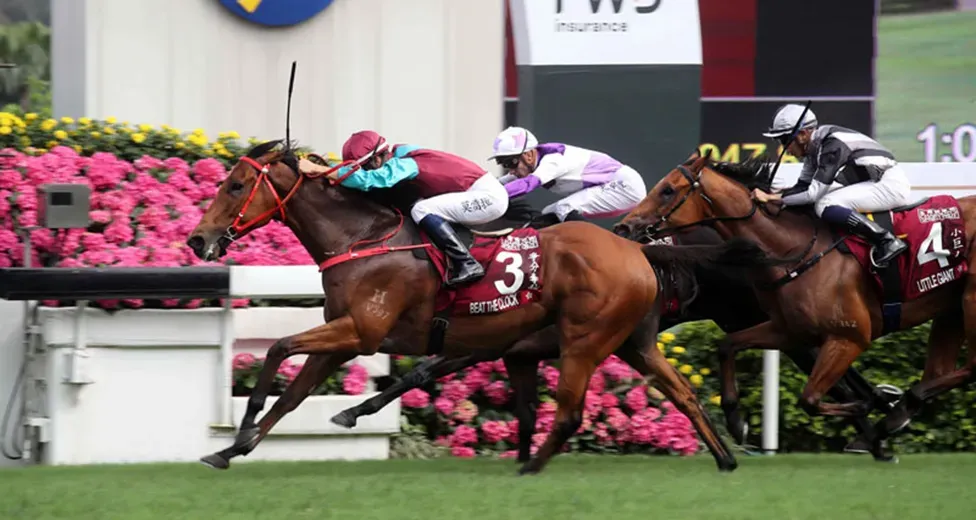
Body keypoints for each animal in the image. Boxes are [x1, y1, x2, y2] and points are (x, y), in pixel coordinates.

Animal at [185, 140, 780, 474]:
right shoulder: (346, 336)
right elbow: (293, 395)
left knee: (577, 407)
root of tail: (636, 247)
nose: (197, 239)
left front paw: (242, 426)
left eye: (236, 184)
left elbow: (277, 350)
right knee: (683, 393)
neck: (363, 238)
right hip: (631, 342)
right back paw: (726, 455)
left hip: (587, 339)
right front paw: (231, 450)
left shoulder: (362, 332)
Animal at [334, 223, 902, 461]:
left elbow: (419, 371)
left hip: (778, 323)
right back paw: (879, 423)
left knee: (838, 371)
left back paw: (879, 428)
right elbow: (519, 409)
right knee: (841, 373)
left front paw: (353, 411)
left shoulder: (484, 344)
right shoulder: (514, 352)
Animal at [612, 151, 976, 454]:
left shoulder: (848, 338)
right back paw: (894, 416)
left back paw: (890, 416)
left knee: (966, 368)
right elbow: (727, 346)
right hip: (951, 312)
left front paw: (872, 412)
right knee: (940, 371)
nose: (624, 226)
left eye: (668, 190)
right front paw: (736, 420)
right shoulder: (787, 330)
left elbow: (811, 399)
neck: (793, 250)